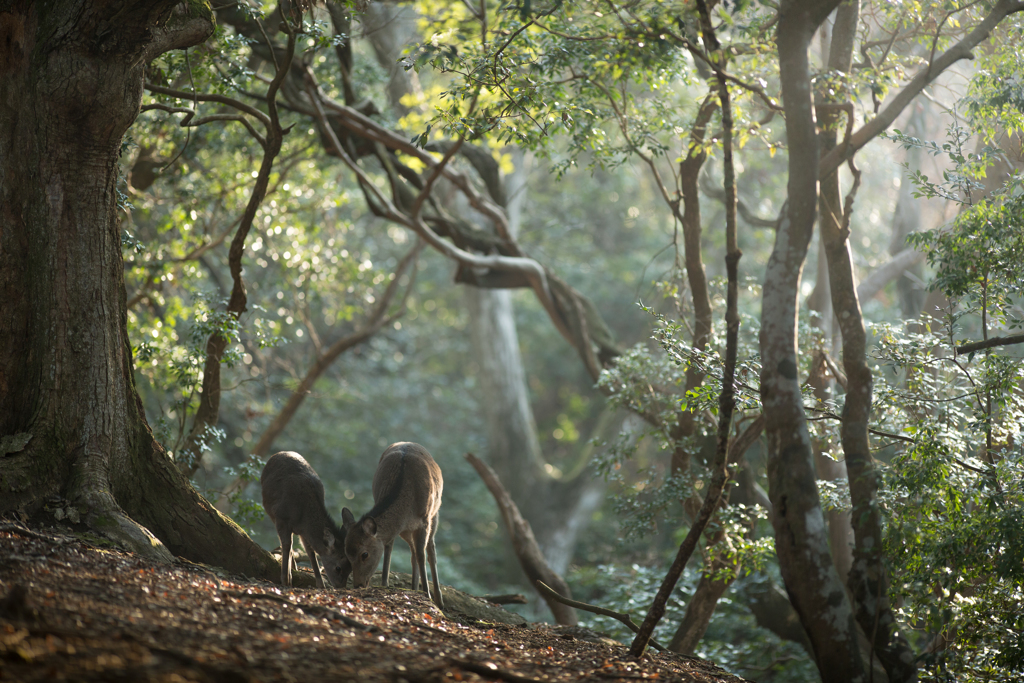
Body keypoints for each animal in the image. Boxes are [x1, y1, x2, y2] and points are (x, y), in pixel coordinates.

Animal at [258, 450, 350, 589]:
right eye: (338, 567)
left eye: (350, 567)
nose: (341, 586)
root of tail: (280, 452)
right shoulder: (281, 517)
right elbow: (287, 545)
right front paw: (285, 580)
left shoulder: (303, 531)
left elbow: (310, 551)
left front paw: (320, 584)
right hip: (271, 513)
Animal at [342, 444, 442, 610]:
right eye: (347, 554)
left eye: (364, 554)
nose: (358, 585)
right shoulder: (399, 528)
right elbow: (388, 548)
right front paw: (384, 583)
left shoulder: (424, 520)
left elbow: (422, 555)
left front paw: (427, 595)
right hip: (406, 531)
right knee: (412, 552)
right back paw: (414, 587)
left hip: (434, 514)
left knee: (430, 550)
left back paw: (439, 599)